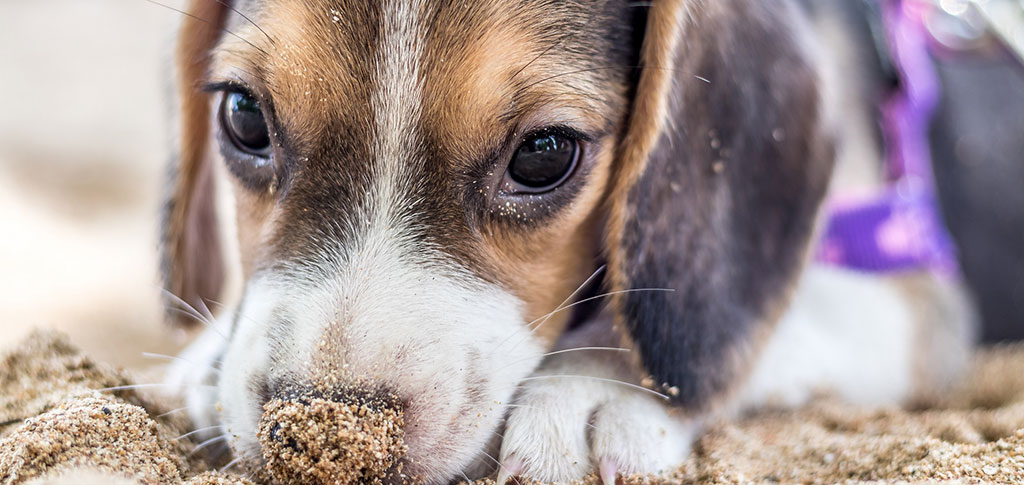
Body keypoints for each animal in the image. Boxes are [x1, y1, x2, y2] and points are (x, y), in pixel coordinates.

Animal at [161, 0, 974, 480]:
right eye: (243, 116)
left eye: (543, 156)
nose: (326, 438)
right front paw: (207, 357)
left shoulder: (917, 291)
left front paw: (593, 385)